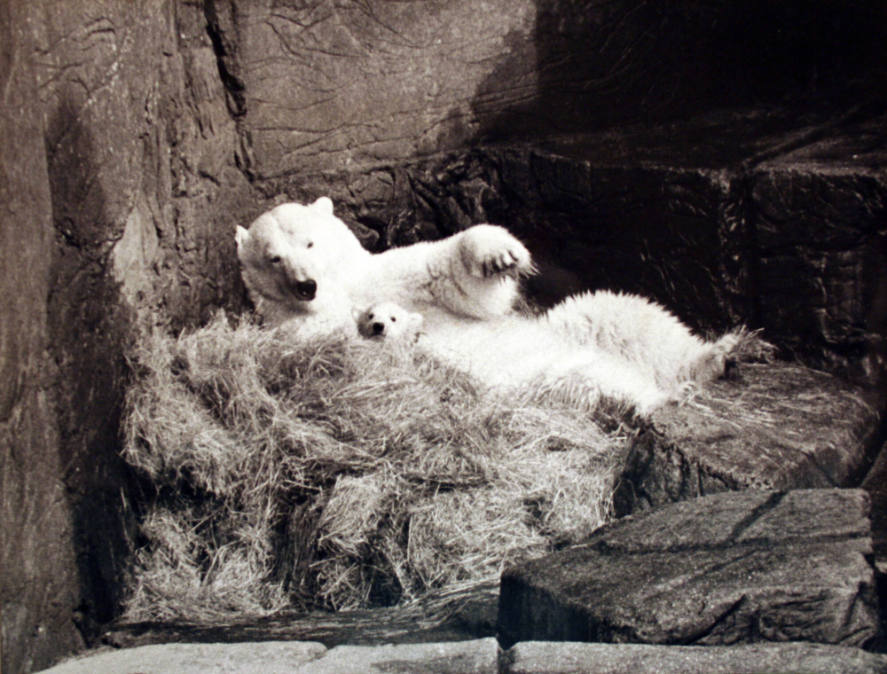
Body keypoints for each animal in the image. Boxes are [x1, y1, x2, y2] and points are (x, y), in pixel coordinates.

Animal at [238, 196, 744, 410]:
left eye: (309, 242)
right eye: (273, 257)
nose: (306, 286)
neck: (344, 290)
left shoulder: (385, 272)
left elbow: (454, 281)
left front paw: (497, 255)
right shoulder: (291, 331)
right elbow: (334, 355)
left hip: (569, 325)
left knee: (622, 314)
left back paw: (717, 357)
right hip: (551, 378)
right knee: (598, 378)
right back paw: (660, 397)